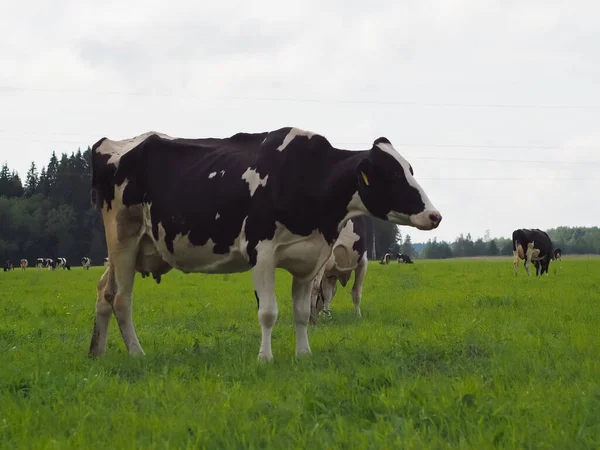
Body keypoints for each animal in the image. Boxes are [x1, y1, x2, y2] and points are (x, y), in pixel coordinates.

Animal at [89, 126, 440, 362]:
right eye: (392, 175)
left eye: (410, 169)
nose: (435, 215)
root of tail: (110, 143)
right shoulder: (261, 251)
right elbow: (269, 312)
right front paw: (265, 359)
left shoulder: (309, 259)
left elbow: (301, 312)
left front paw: (303, 355)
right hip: (123, 240)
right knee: (121, 300)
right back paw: (137, 354)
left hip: (133, 249)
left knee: (105, 292)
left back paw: (97, 351)